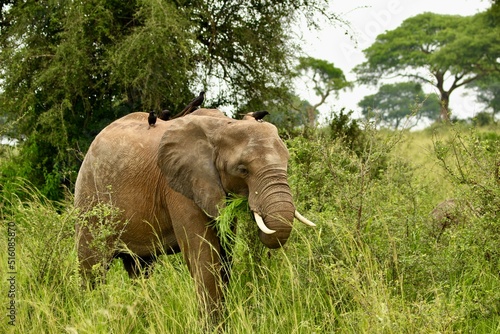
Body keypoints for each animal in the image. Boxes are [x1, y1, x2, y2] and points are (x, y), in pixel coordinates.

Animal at [74, 109, 314, 314]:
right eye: (243, 170)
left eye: (287, 163)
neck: (222, 125)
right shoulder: (179, 187)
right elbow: (204, 257)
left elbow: (225, 254)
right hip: (89, 198)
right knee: (92, 269)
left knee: (140, 268)